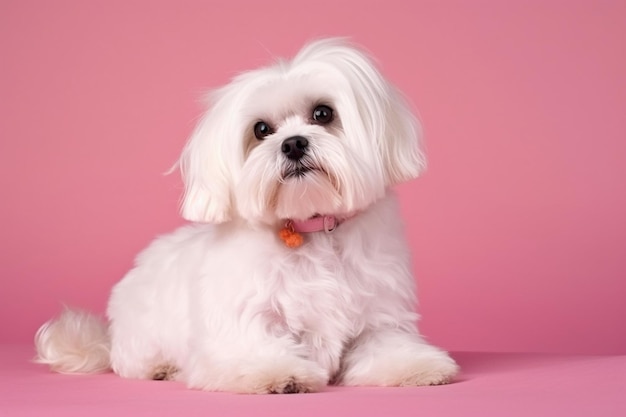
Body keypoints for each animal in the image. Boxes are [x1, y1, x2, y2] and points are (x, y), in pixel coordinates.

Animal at [35, 39, 458, 394]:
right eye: (261, 129)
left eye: (323, 113)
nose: (293, 144)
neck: (312, 228)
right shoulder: (244, 320)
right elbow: (255, 350)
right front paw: (280, 374)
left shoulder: (378, 314)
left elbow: (385, 345)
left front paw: (416, 367)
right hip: (141, 340)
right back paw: (163, 369)